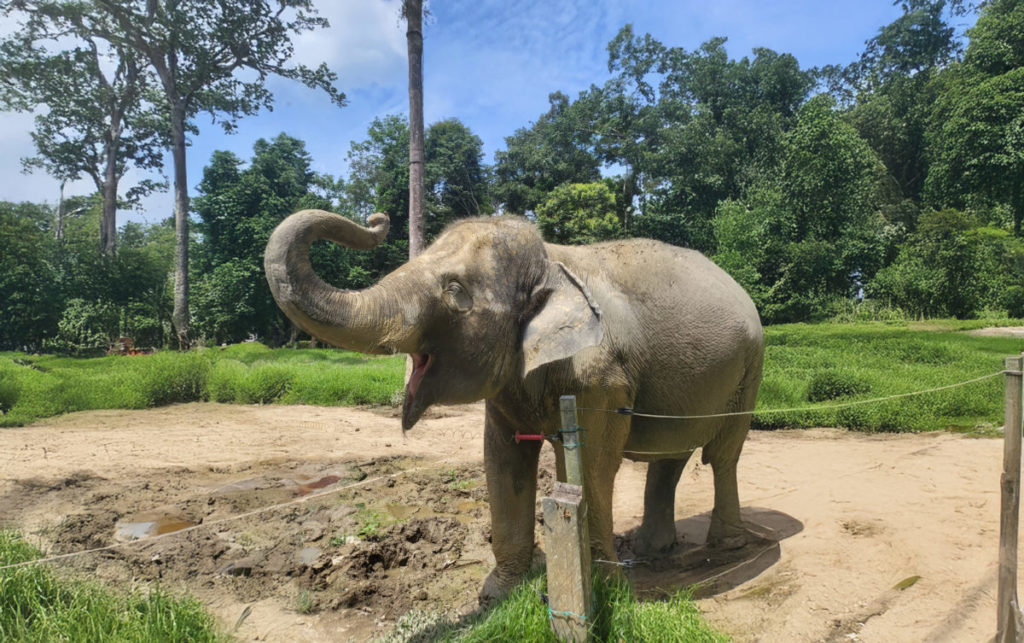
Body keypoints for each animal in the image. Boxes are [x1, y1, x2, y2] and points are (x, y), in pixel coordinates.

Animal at [264, 209, 761, 597]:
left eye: (455, 292)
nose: (377, 219)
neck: (552, 262)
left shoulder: (602, 376)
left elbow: (591, 465)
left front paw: (603, 589)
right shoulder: (507, 388)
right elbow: (503, 461)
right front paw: (498, 594)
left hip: (751, 368)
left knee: (722, 454)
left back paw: (726, 548)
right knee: (671, 454)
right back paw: (654, 550)